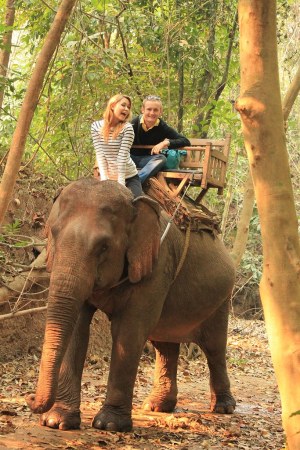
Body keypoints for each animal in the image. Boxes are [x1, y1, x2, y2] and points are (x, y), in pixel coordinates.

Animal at [26, 177, 237, 432]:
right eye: (52, 234)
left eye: (104, 246)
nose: (29, 398)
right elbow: (77, 327)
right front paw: (56, 421)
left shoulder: (157, 263)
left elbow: (129, 330)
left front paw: (110, 424)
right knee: (165, 345)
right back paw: (157, 407)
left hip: (222, 298)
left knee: (214, 347)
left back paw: (224, 408)